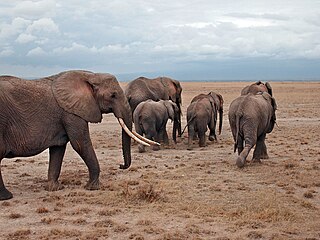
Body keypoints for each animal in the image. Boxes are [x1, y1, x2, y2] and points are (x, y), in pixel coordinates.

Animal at [0, 70, 151, 201]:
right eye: (113, 95)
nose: (120, 165)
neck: (90, 75)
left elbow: (58, 148)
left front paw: (55, 188)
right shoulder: (72, 113)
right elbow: (80, 144)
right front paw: (92, 187)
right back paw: (7, 197)